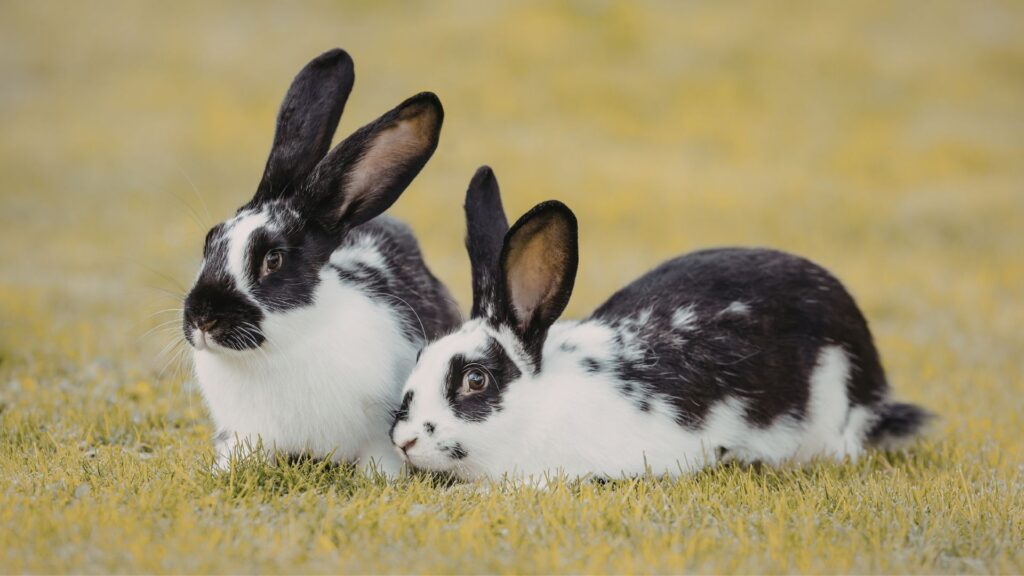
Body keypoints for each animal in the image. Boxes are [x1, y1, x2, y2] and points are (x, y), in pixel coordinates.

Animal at [181, 48, 461, 474]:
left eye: (273, 259)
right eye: (210, 241)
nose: (202, 318)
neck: (283, 346)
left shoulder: (382, 426)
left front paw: (379, 477)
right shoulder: (246, 430)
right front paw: (226, 469)